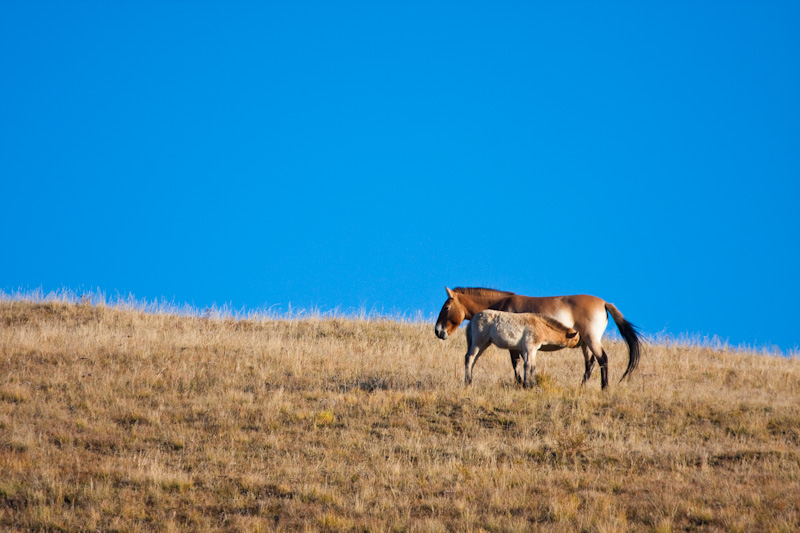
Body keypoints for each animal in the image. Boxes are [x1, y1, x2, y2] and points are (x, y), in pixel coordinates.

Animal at [434, 284, 640, 388]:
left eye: (446, 307)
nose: (438, 331)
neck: (502, 304)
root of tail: (604, 303)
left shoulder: (516, 346)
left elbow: (516, 364)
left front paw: (521, 384)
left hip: (591, 340)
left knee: (602, 359)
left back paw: (604, 388)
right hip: (585, 344)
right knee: (590, 363)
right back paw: (582, 387)